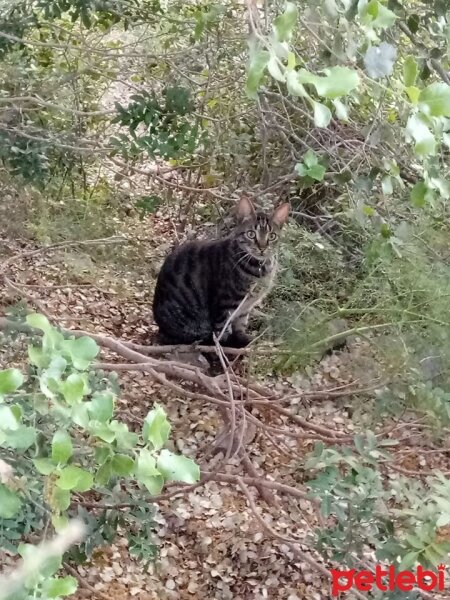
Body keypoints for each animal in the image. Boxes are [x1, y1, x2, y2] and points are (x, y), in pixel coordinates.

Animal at [153, 197, 290, 346]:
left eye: (272, 236)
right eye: (251, 234)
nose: (262, 248)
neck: (260, 267)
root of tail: (161, 329)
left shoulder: (244, 308)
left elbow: (240, 326)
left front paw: (243, 338)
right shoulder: (224, 305)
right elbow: (223, 334)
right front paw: (234, 344)